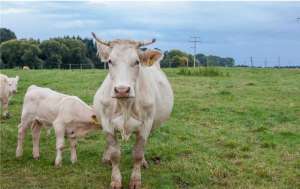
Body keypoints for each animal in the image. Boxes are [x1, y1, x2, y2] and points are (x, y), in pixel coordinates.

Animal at [92, 32, 175, 189]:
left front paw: (136, 180)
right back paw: (106, 158)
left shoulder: (146, 124)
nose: (122, 90)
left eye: (137, 62)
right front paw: (115, 180)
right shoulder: (107, 123)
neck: (125, 105)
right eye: (110, 61)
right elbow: (115, 153)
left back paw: (143, 162)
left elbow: (137, 152)